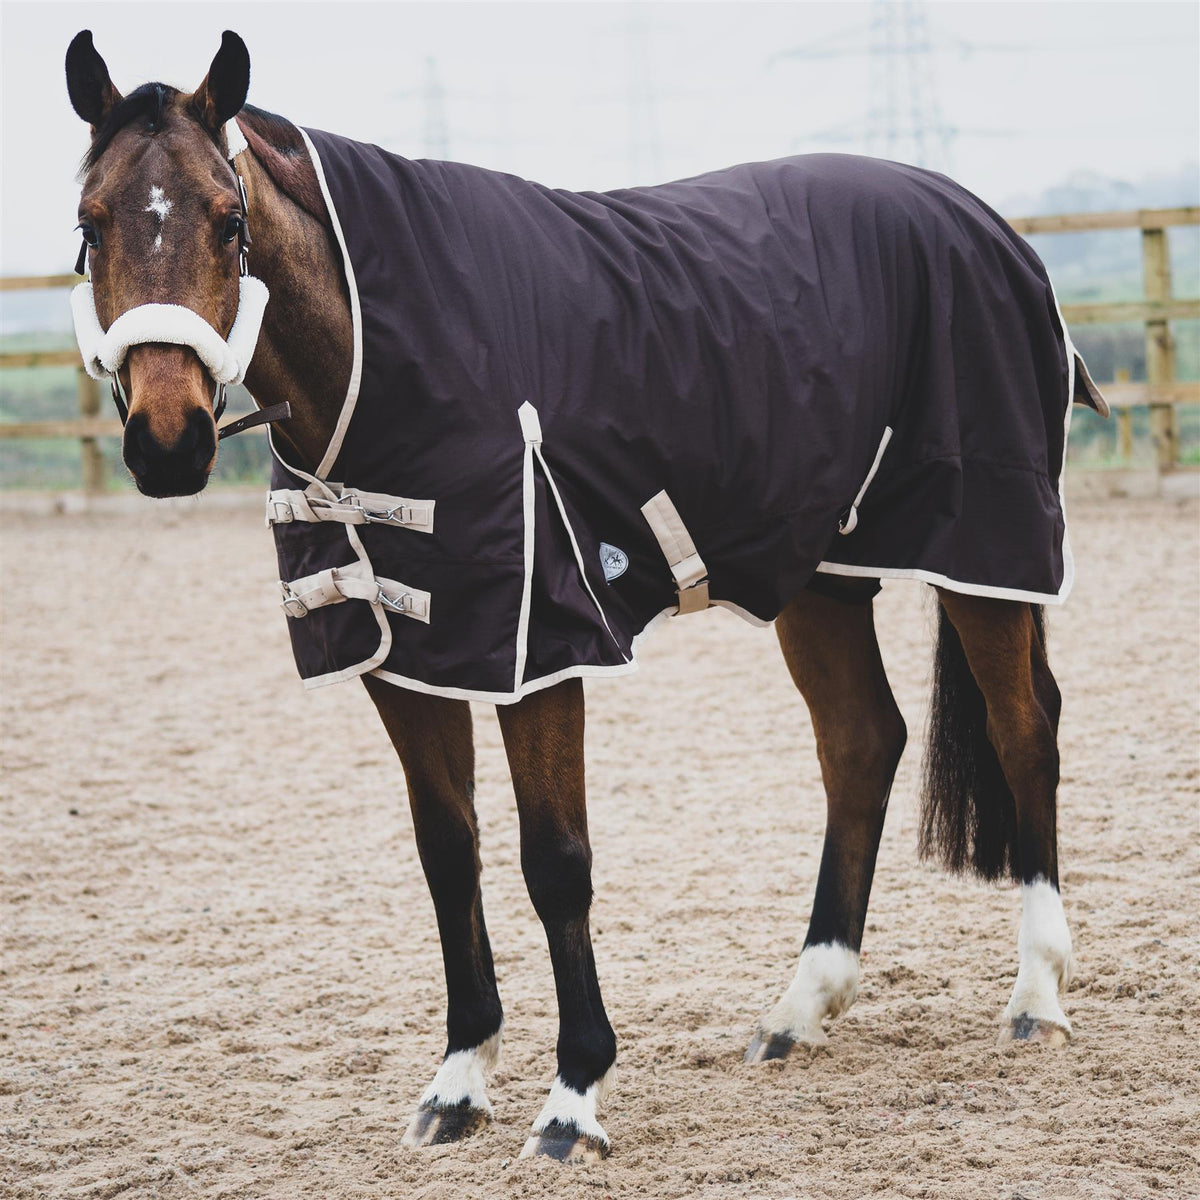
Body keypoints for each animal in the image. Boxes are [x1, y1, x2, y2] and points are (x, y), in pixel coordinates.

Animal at [65, 29, 1102, 1164]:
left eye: (228, 216)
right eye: (91, 221)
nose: (168, 443)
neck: (395, 357)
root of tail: (982, 221)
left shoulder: (539, 649)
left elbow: (554, 861)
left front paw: (572, 1100)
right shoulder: (405, 657)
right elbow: (448, 855)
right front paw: (459, 1083)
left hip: (985, 544)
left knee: (1024, 730)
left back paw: (1037, 996)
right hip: (817, 577)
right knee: (862, 743)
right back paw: (800, 1008)